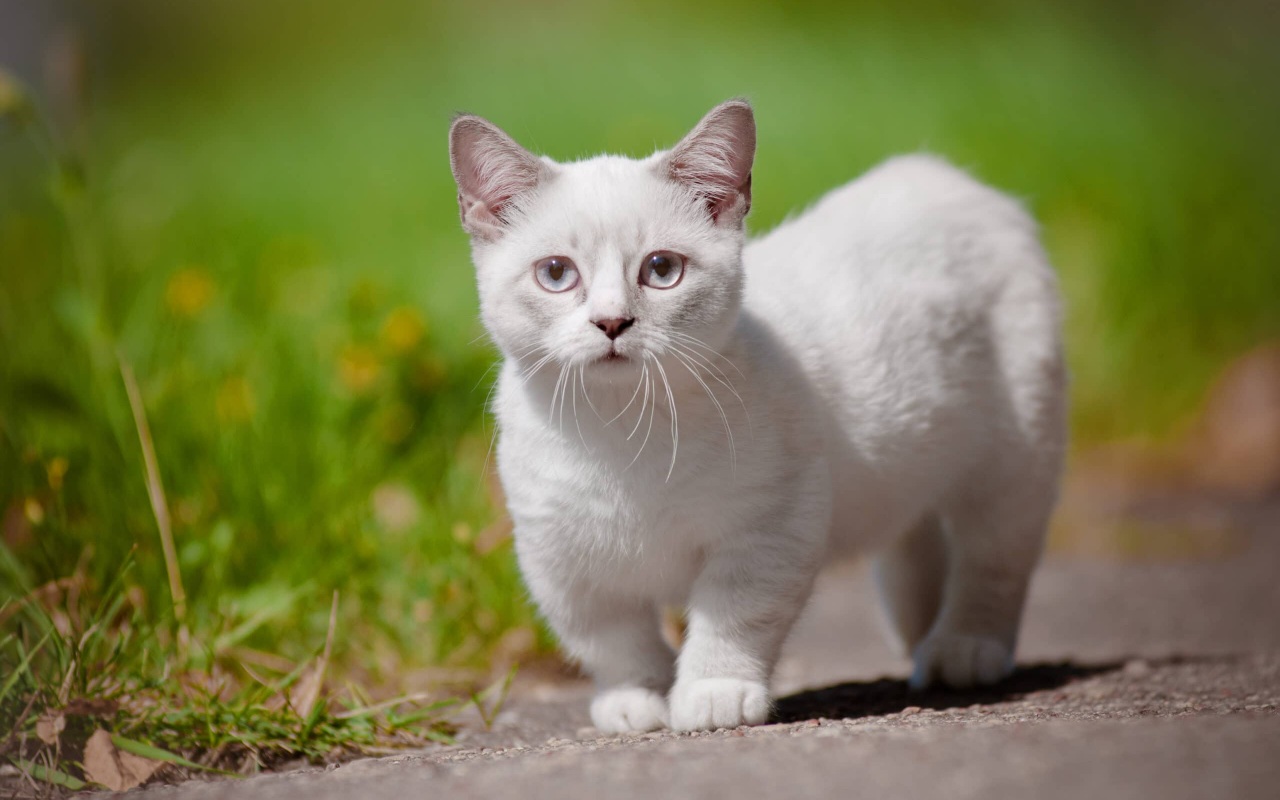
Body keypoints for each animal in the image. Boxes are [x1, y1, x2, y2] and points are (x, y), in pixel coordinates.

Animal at [445, 98, 1064, 732]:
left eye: (661, 269)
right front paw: (635, 699)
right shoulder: (560, 558)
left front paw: (713, 692)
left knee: (994, 559)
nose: (612, 322)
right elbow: (611, 639)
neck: (620, 433)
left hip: (1015, 455)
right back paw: (920, 642)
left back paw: (963, 648)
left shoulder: (769, 526)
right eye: (556, 273)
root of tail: (942, 174)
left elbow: (733, 618)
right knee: (914, 542)